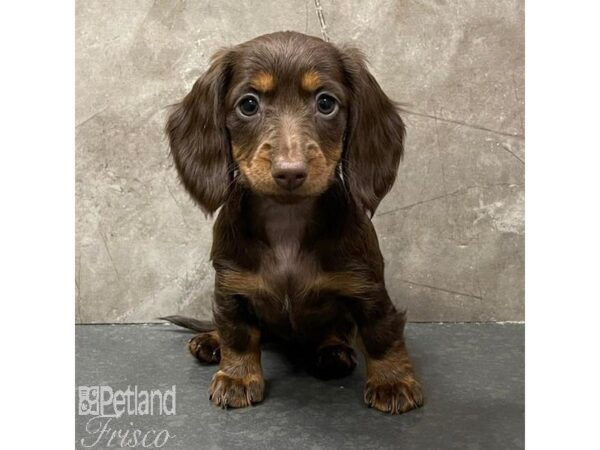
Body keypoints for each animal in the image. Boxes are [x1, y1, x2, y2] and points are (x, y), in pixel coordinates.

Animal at [163, 29, 422, 414]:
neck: (287, 221)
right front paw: (238, 377)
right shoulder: (231, 285)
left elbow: (381, 332)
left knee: (338, 331)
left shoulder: (367, 285)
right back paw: (209, 340)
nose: (290, 172)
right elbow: (237, 333)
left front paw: (392, 382)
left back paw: (332, 352)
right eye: (249, 104)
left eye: (326, 103)